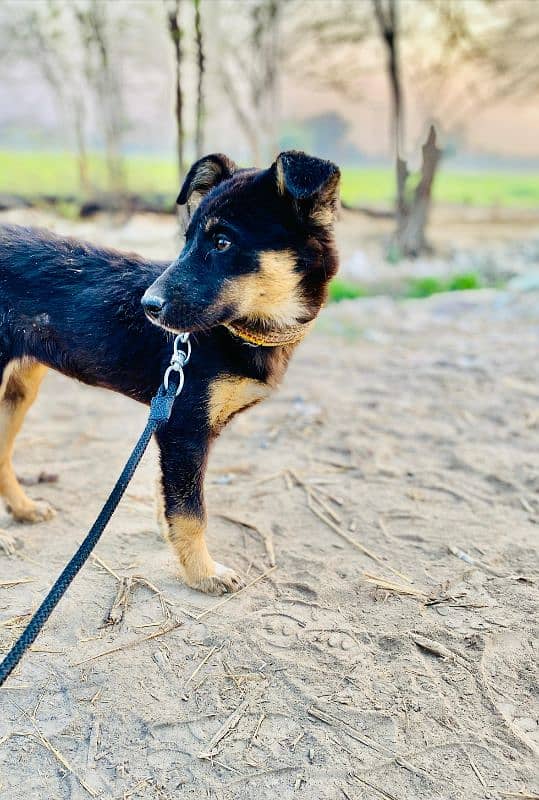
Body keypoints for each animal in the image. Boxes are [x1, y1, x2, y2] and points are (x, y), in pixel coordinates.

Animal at [0, 152, 340, 592]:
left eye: (222, 242)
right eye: (187, 240)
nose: (148, 306)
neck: (242, 331)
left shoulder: (173, 423)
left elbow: (172, 498)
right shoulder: (184, 428)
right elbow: (191, 511)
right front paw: (203, 573)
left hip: (20, 388)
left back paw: (23, 508)